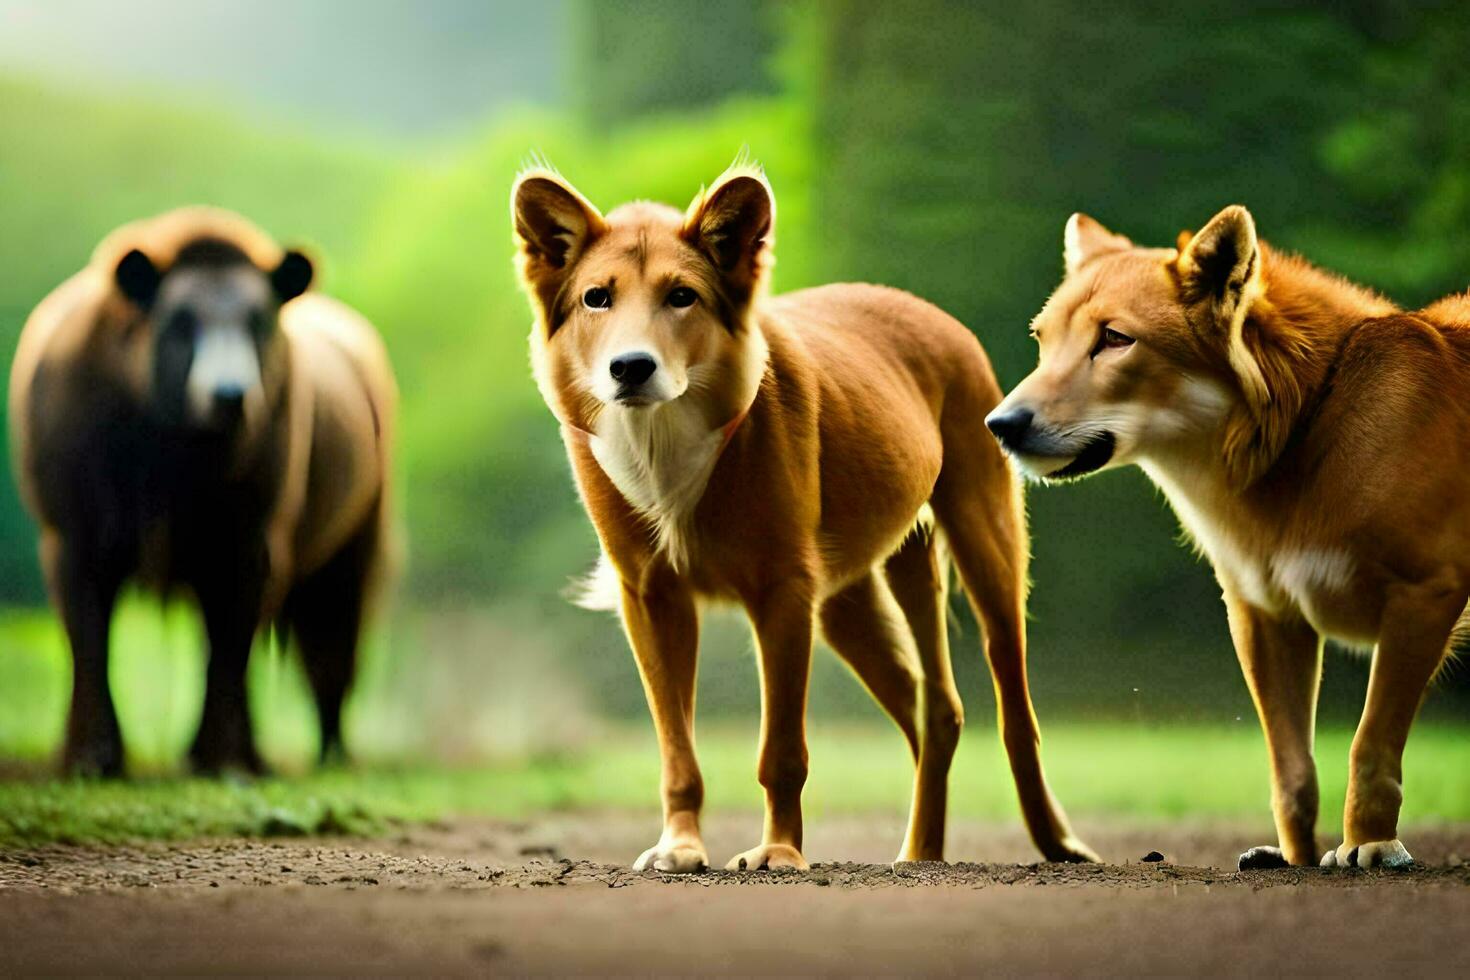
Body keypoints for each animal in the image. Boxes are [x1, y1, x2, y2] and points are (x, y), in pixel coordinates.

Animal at [7, 207, 396, 775]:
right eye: (181, 321)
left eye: (258, 321)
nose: (230, 393)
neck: (173, 455)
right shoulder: (71, 529)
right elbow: (88, 638)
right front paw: (91, 755)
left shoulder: (253, 535)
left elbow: (229, 647)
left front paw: (219, 756)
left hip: (356, 538)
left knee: (331, 642)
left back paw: (324, 753)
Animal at [511, 163, 1099, 875]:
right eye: (596, 298)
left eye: (682, 296)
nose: (631, 367)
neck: (667, 440)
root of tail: (921, 306)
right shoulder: (650, 598)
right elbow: (677, 748)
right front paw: (681, 846)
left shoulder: (784, 591)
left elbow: (782, 750)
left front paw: (780, 850)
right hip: (848, 601)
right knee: (934, 709)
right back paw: (921, 851)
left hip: (984, 542)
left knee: (1014, 714)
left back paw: (1055, 841)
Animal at [987, 202, 1470, 869]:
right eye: (1042, 340)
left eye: (1114, 339)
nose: (1000, 424)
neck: (1312, 426)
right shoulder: (1265, 616)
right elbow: (1293, 774)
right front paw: (1297, 862)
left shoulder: (1422, 599)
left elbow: (1369, 748)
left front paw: (1369, 845)